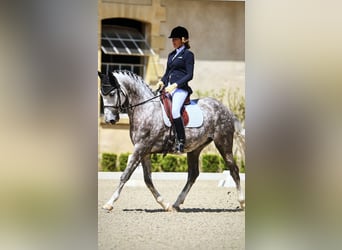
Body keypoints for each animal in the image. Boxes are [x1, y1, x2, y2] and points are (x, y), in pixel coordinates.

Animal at [97, 70, 244, 211]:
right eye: (102, 94)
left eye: (112, 94)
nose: (110, 120)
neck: (145, 109)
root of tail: (225, 109)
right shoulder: (144, 151)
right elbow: (147, 179)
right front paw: (164, 204)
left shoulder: (141, 148)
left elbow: (126, 175)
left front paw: (109, 203)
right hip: (195, 148)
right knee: (193, 175)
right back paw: (176, 203)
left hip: (223, 143)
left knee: (234, 170)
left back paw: (242, 202)